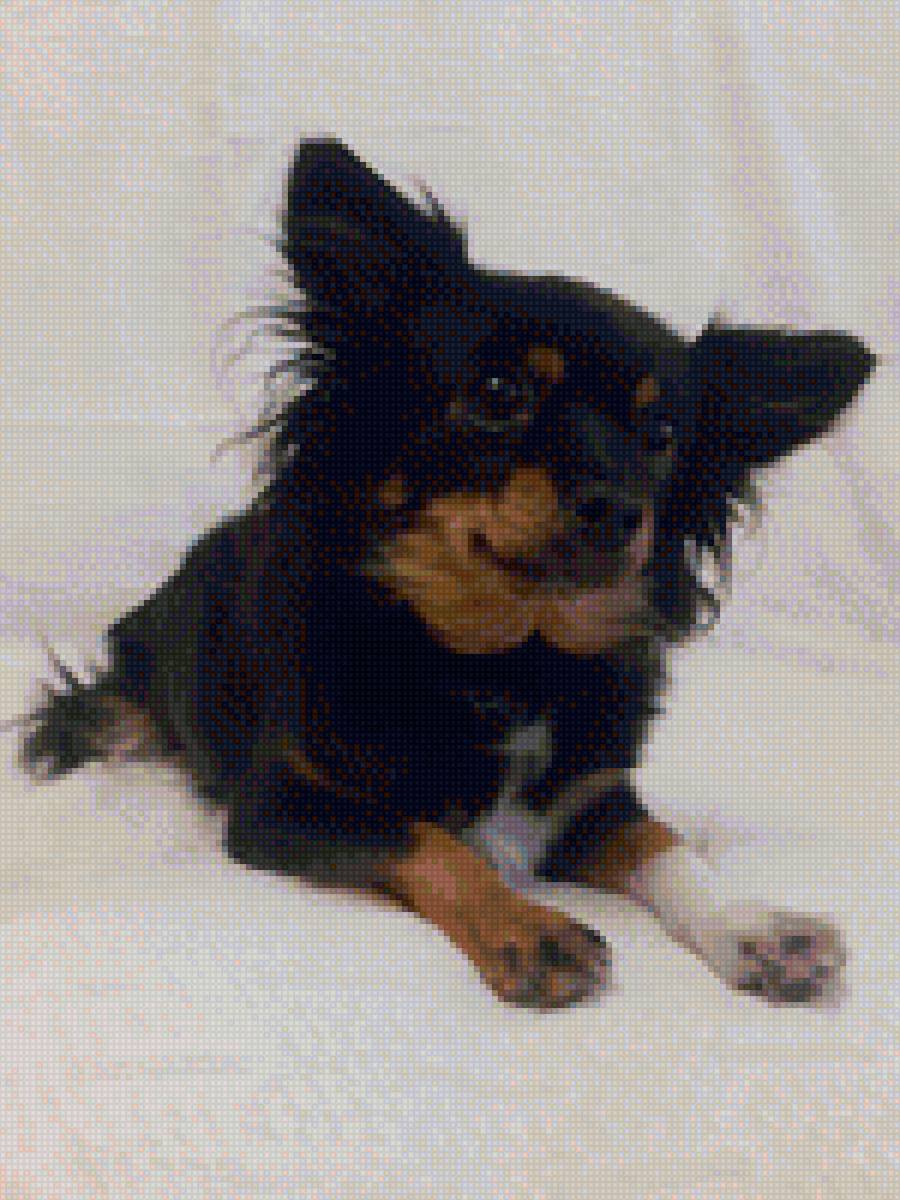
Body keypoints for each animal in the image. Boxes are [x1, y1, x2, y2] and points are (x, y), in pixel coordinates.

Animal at [20, 139, 873, 1008]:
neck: (507, 661)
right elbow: (428, 837)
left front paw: (752, 926)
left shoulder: (592, 800)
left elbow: (667, 847)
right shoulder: (284, 806)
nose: (618, 508)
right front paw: (529, 927)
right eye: (498, 393)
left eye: (663, 434)